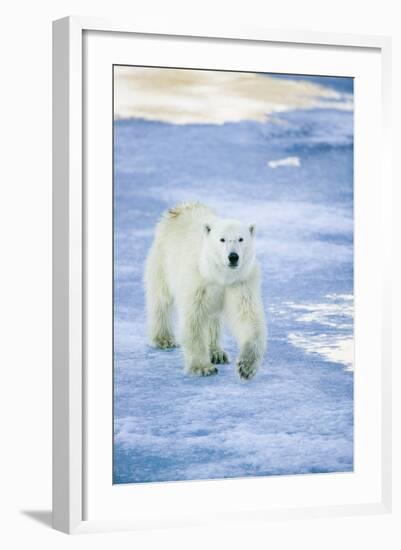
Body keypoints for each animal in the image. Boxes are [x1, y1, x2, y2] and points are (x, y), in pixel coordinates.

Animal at [144, 203, 266, 380]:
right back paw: (164, 339)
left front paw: (246, 366)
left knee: (213, 319)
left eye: (241, 238)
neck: (221, 276)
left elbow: (248, 317)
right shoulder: (198, 281)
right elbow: (194, 319)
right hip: (162, 259)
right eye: (222, 239)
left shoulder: (241, 282)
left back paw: (217, 353)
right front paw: (203, 368)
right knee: (161, 300)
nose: (233, 256)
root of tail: (181, 207)